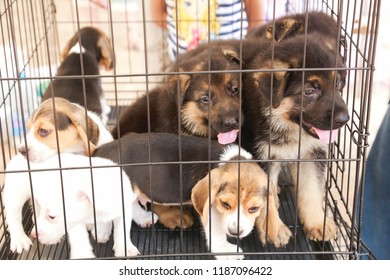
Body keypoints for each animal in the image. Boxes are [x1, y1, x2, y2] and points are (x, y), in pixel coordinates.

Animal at [241, 32, 350, 242]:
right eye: (309, 91)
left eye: (337, 85)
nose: (344, 119)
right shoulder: (261, 156)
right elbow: (264, 196)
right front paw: (273, 228)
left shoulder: (311, 155)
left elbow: (311, 189)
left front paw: (317, 222)